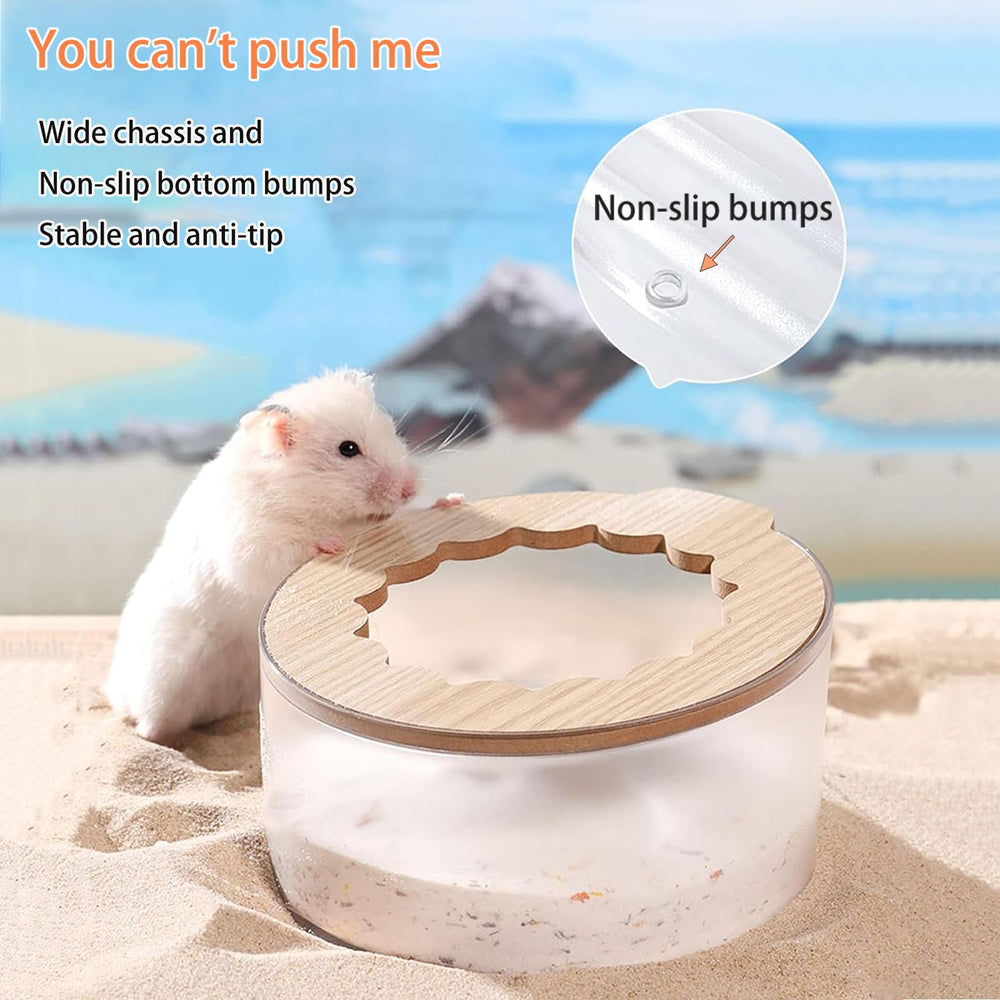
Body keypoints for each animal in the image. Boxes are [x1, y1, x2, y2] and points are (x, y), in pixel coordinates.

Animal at [106, 368, 434, 743]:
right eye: (348, 449)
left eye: (391, 429)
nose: (411, 488)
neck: (299, 494)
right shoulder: (250, 545)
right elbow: (291, 548)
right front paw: (331, 543)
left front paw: (446, 501)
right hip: (162, 683)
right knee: (146, 725)